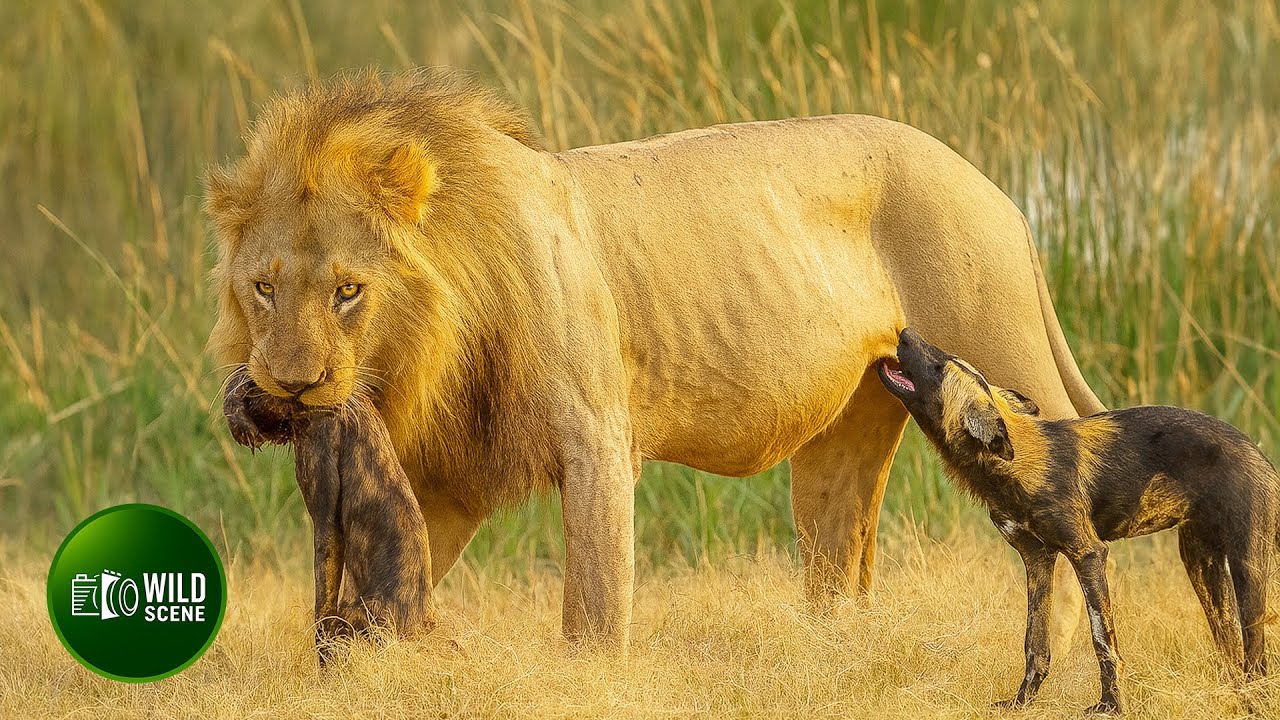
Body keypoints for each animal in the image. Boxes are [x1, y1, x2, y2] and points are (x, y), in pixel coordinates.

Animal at [206, 71, 1105, 648]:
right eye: (263, 288)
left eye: (348, 291)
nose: (290, 387)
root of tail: (1003, 197)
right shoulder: (451, 475)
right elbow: (397, 577)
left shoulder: (598, 439)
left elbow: (594, 611)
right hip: (850, 429)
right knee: (840, 556)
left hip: (995, 353)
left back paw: (1051, 660)